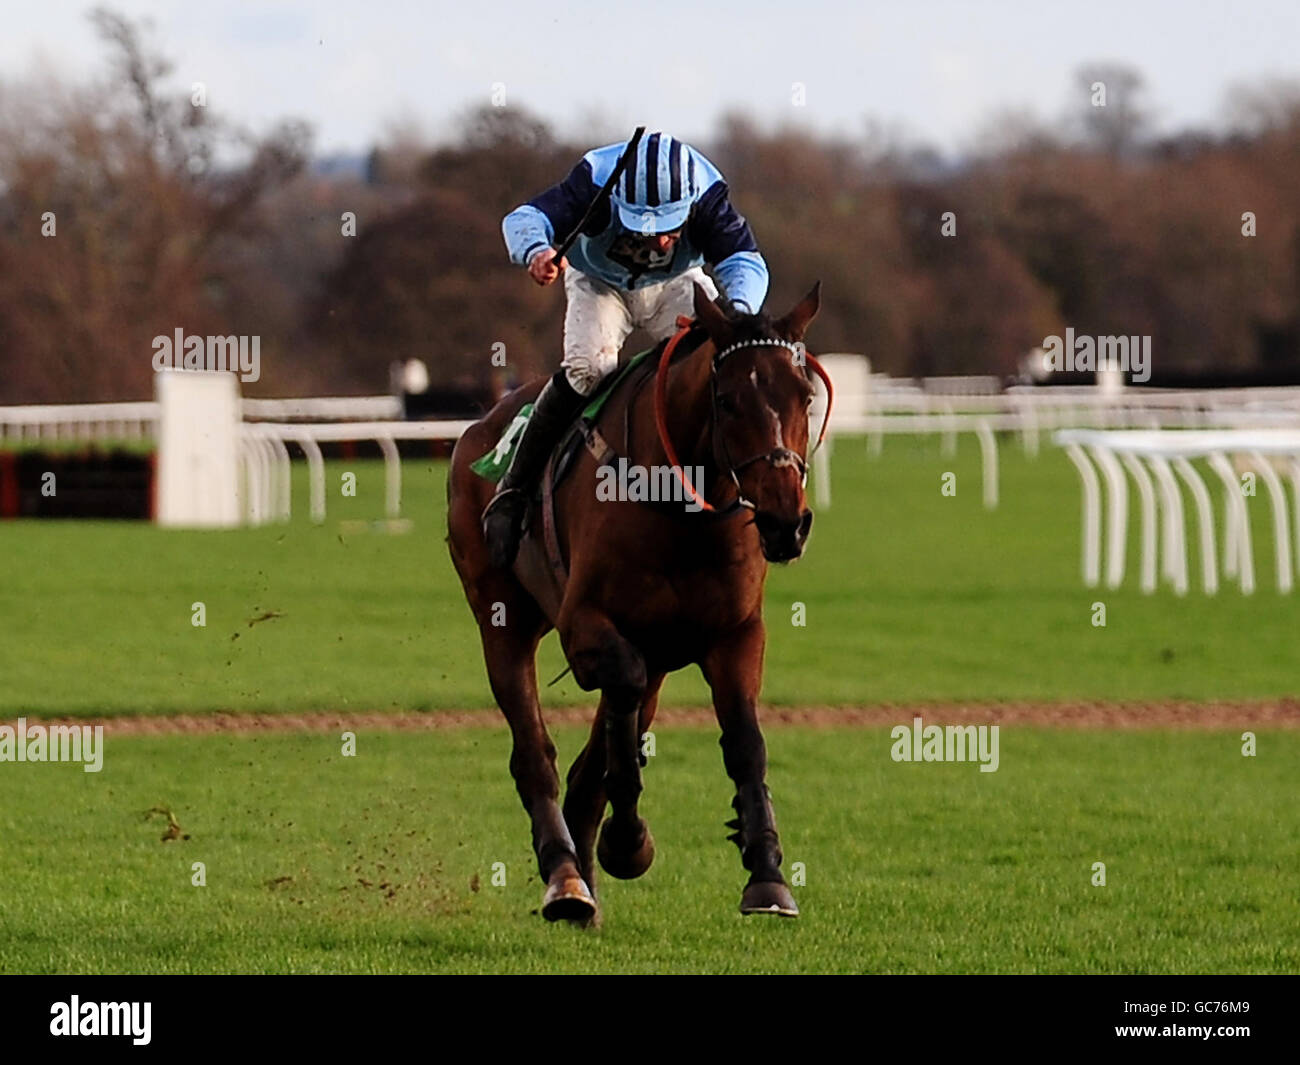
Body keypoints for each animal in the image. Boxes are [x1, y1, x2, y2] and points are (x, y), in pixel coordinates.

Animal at [447, 280, 826, 925]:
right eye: (728, 401)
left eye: (804, 396)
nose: (786, 523)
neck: (679, 506)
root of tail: (481, 427)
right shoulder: (584, 627)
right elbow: (616, 729)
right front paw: (627, 842)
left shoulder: (734, 634)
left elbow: (745, 743)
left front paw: (767, 874)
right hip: (501, 622)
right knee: (536, 757)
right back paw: (565, 877)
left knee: (587, 766)